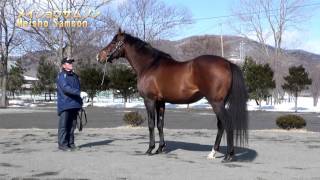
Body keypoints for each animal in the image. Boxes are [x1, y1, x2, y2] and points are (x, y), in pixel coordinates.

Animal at [96, 28, 249, 162]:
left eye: (114, 42)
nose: (99, 56)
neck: (149, 65)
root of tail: (228, 63)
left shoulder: (149, 100)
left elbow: (151, 124)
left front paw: (150, 149)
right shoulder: (161, 102)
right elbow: (160, 124)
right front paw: (160, 148)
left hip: (216, 103)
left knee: (227, 123)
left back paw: (228, 156)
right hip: (219, 103)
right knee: (221, 125)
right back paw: (213, 153)